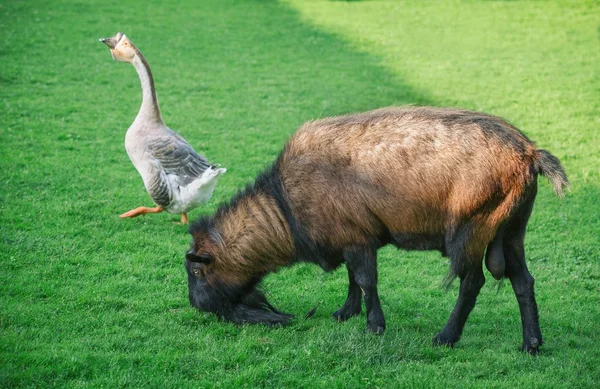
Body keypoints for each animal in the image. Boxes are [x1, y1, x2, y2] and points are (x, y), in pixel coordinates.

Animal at [186, 105, 568, 352]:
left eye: (197, 271)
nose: (196, 304)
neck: (285, 209)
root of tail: (530, 153)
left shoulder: (357, 238)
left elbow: (366, 280)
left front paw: (374, 325)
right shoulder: (351, 237)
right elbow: (353, 279)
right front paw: (346, 313)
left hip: (472, 228)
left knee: (472, 283)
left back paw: (446, 337)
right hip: (511, 229)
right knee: (523, 281)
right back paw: (532, 343)